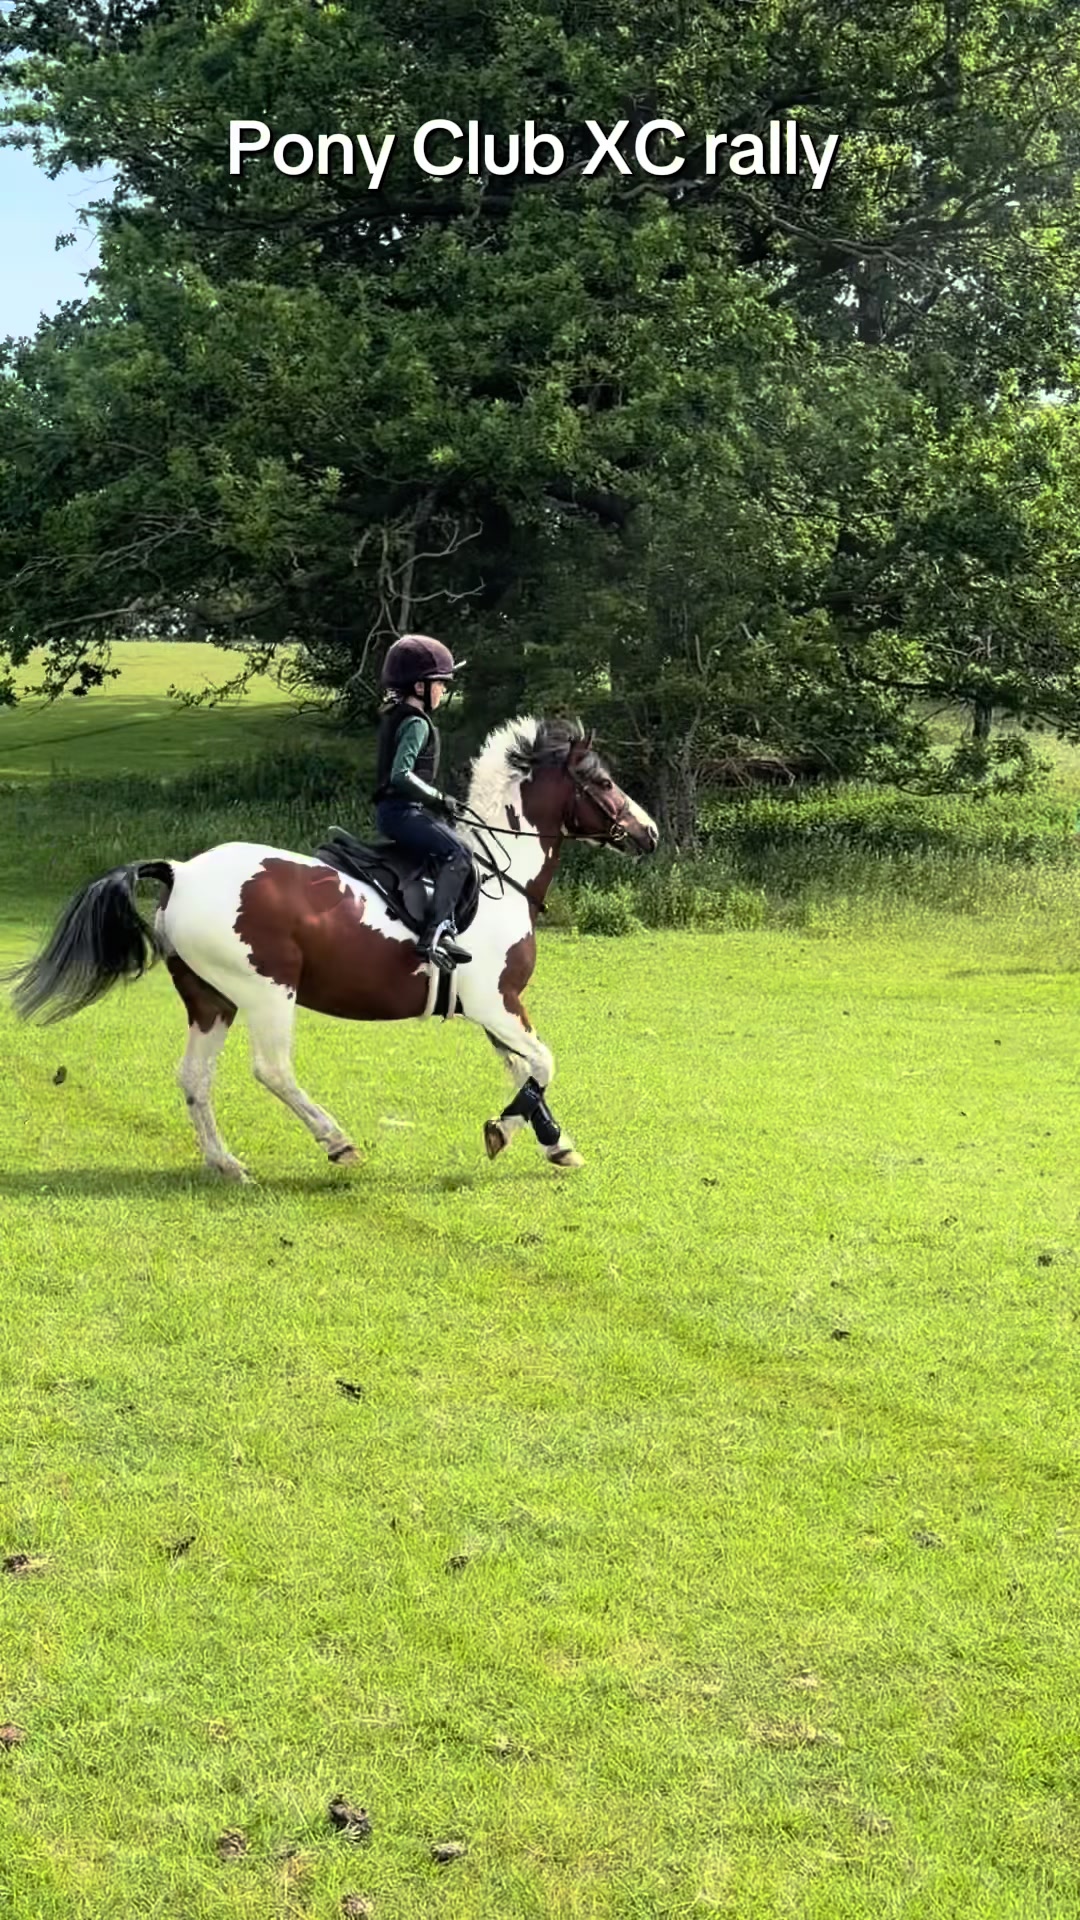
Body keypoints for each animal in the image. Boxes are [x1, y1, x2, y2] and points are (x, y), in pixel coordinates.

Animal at [4, 717, 659, 1180]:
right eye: (603, 782)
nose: (648, 834)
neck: (502, 873)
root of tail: (180, 871)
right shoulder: (495, 1003)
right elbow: (542, 1064)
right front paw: (502, 1132)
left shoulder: (494, 1011)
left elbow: (527, 1071)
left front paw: (555, 1144)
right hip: (267, 991)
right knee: (272, 1069)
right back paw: (337, 1142)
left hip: (211, 999)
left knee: (194, 1076)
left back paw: (226, 1163)